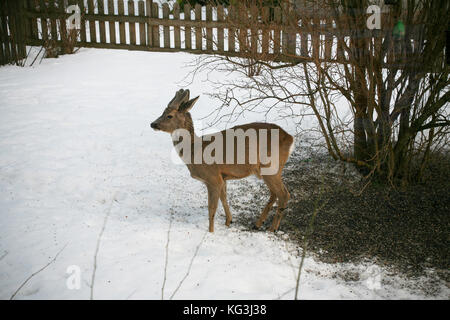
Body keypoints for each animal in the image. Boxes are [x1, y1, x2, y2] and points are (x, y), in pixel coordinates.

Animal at [149, 89, 294, 231]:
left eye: (169, 115)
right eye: (162, 112)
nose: (152, 124)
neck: (195, 151)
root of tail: (290, 138)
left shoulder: (213, 177)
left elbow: (211, 207)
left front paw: (211, 231)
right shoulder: (222, 177)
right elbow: (224, 198)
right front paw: (229, 221)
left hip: (271, 166)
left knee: (284, 194)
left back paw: (272, 229)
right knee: (274, 193)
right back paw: (258, 224)